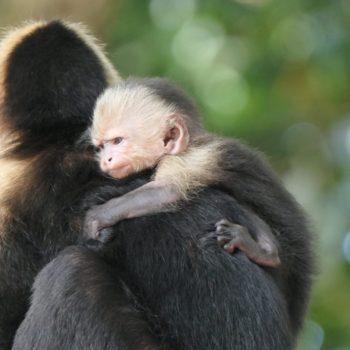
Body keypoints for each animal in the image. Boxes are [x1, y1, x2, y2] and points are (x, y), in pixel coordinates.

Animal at [83, 78, 280, 266]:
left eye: (117, 141)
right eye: (101, 147)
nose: (105, 160)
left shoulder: (185, 158)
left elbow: (167, 191)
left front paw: (97, 216)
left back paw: (265, 253)